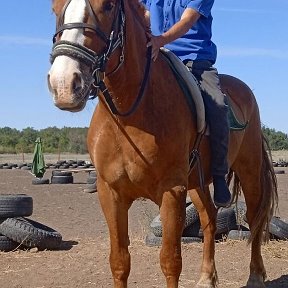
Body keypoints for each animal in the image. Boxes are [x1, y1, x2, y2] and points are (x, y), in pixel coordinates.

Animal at [48, 0, 278, 288]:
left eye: (108, 6)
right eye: (55, 9)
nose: (64, 83)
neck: (130, 115)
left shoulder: (172, 191)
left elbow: (170, 261)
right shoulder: (110, 193)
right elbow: (119, 261)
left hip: (249, 172)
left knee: (255, 218)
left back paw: (256, 275)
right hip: (197, 184)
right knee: (210, 218)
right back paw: (206, 276)